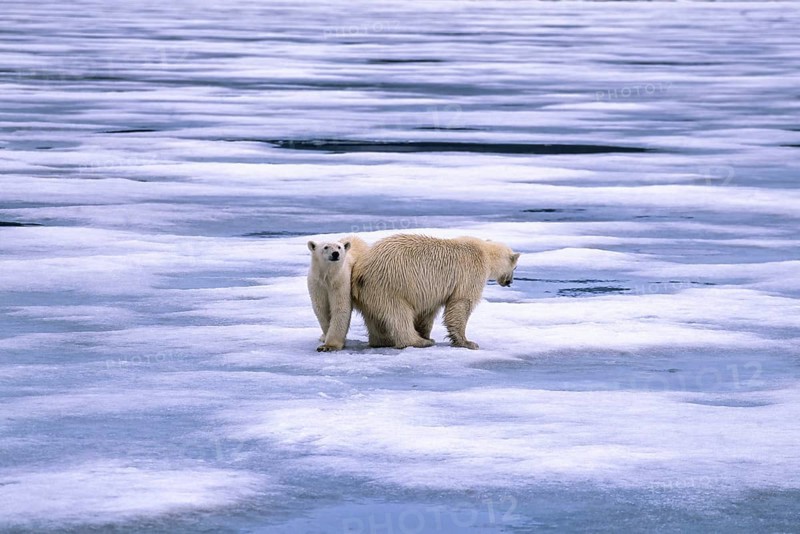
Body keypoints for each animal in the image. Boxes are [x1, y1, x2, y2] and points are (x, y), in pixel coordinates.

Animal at [351, 234, 520, 350]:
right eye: (515, 267)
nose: (510, 282)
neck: (485, 252)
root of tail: (360, 269)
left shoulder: (430, 292)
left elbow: (428, 312)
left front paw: (426, 333)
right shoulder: (471, 272)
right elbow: (461, 303)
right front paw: (468, 342)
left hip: (371, 293)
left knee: (375, 318)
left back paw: (382, 341)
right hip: (389, 285)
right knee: (398, 313)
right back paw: (419, 341)